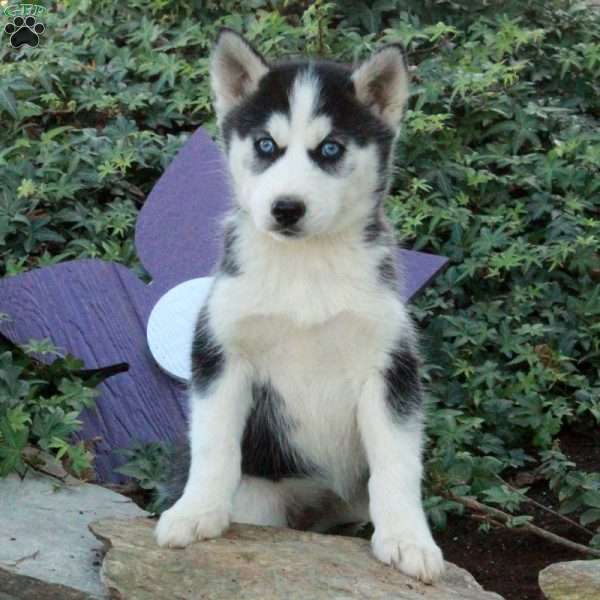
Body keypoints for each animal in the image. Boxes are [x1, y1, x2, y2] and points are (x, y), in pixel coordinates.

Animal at [156, 29, 446, 584]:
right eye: (266, 145)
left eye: (330, 148)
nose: (286, 208)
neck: (304, 269)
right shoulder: (220, 353)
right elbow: (213, 444)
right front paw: (194, 512)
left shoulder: (390, 366)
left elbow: (397, 465)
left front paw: (408, 540)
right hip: (261, 495)